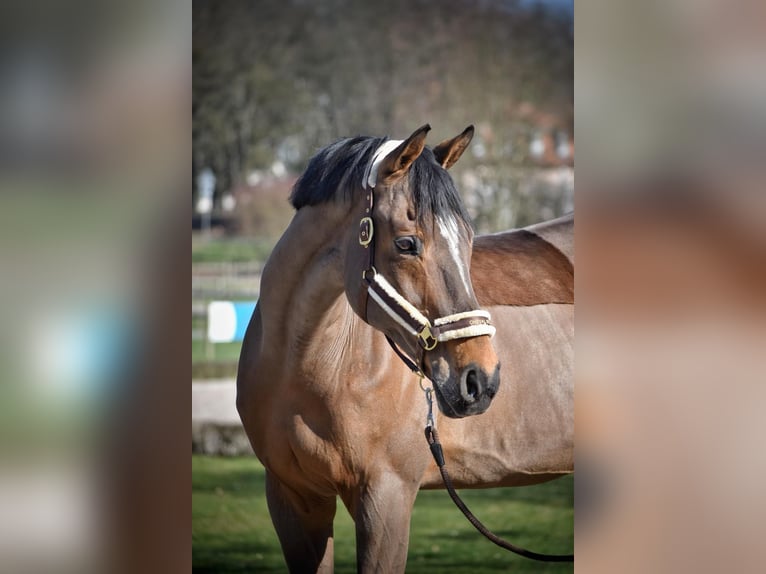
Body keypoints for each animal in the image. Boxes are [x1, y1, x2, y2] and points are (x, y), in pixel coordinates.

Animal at [236, 124, 573, 573]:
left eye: (468, 240)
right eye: (407, 244)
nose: (480, 379)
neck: (307, 370)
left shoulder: (387, 497)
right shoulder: (293, 499)